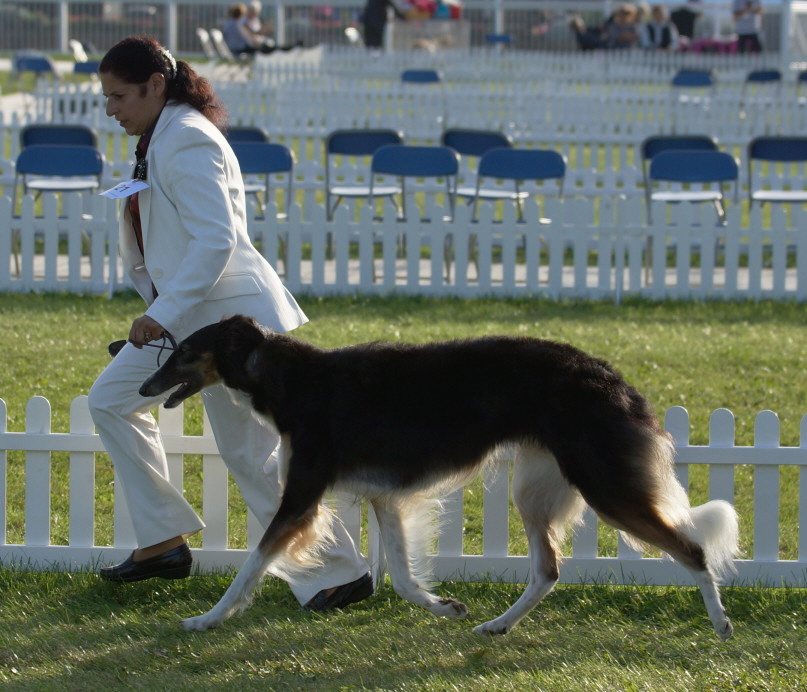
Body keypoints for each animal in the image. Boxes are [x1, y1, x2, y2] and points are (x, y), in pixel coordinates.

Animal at [139, 314, 740, 636]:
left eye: (185, 351)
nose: (145, 385)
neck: (292, 378)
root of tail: (611, 377)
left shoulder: (302, 495)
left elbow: (251, 566)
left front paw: (205, 620)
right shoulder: (383, 497)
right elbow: (404, 579)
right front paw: (443, 606)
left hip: (604, 486)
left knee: (692, 550)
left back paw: (720, 623)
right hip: (533, 489)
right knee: (547, 570)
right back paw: (497, 625)